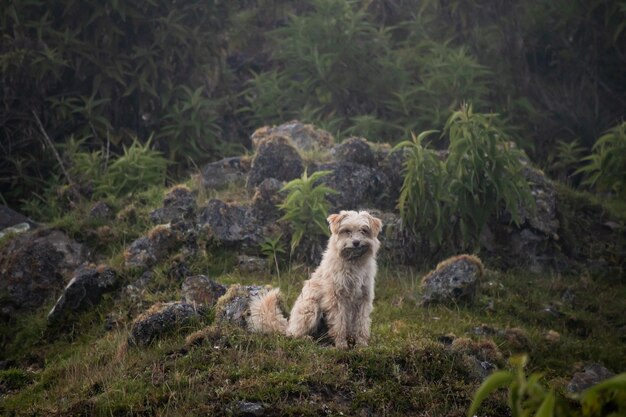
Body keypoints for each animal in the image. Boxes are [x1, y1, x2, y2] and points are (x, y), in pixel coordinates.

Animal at [249, 208, 380, 348]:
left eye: (364, 230)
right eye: (347, 231)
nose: (356, 242)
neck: (353, 263)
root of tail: (288, 325)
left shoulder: (364, 299)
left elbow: (362, 323)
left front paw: (362, 344)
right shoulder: (336, 298)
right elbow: (339, 322)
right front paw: (341, 344)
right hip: (310, 308)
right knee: (293, 334)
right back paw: (306, 338)